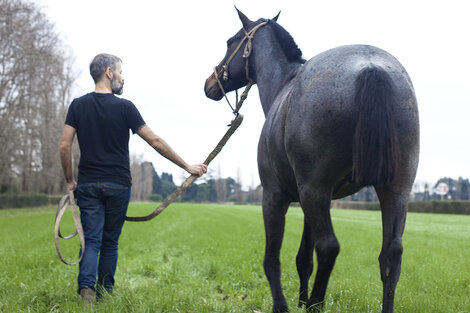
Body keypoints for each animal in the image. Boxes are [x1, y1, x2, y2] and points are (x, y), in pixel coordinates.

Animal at [204, 9, 416, 312]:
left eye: (230, 42)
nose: (210, 84)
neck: (284, 85)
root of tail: (371, 67)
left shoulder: (275, 196)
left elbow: (273, 258)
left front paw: (283, 305)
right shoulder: (308, 202)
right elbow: (304, 258)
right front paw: (301, 300)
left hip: (316, 191)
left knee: (329, 247)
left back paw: (317, 302)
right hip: (395, 190)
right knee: (391, 255)